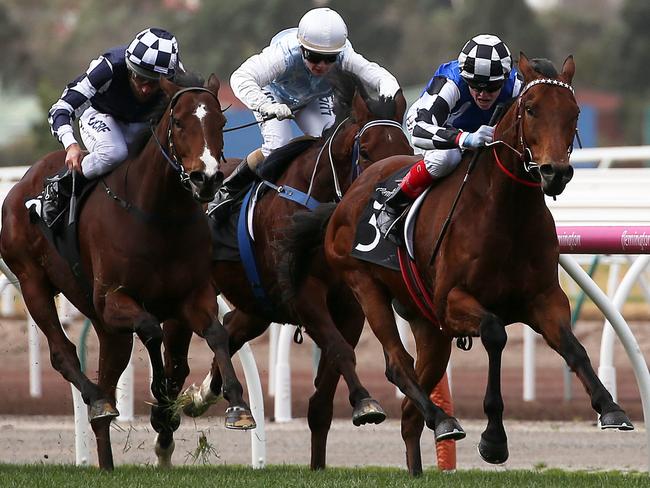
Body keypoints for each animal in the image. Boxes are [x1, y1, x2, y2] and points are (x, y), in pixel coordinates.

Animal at [0, 74, 253, 470]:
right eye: (178, 122)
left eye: (221, 121)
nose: (207, 178)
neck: (157, 215)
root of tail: (21, 186)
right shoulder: (113, 300)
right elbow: (151, 330)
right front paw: (160, 396)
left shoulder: (192, 297)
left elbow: (216, 335)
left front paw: (236, 405)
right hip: (32, 283)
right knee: (63, 353)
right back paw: (98, 402)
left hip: (106, 329)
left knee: (106, 379)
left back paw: (106, 461)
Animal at [173, 71, 410, 468]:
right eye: (368, 151)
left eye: (406, 146)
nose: (392, 190)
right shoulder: (304, 296)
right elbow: (341, 350)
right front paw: (366, 402)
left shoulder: (348, 306)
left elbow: (323, 396)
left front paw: (320, 462)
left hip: (256, 305)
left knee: (229, 328)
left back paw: (203, 396)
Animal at [280, 54, 632, 476]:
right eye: (531, 109)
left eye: (574, 111)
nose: (555, 172)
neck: (506, 213)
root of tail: (346, 198)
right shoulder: (452, 300)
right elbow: (496, 334)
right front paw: (494, 439)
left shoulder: (544, 299)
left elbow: (574, 348)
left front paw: (610, 407)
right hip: (365, 288)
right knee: (397, 364)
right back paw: (443, 418)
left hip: (428, 326)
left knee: (409, 411)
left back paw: (420, 462)